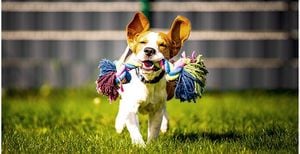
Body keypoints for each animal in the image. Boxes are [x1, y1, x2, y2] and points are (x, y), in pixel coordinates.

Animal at [114, 12, 190, 146]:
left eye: (163, 45)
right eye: (143, 42)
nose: (149, 50)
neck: (148, 81)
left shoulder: (156, 109)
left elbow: (154, 128)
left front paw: (151, 145)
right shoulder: (132, 107)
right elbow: (134, 128)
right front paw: (140, 145)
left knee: (164, 109)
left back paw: (165, 124)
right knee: (122, 105)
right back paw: (119, 124)